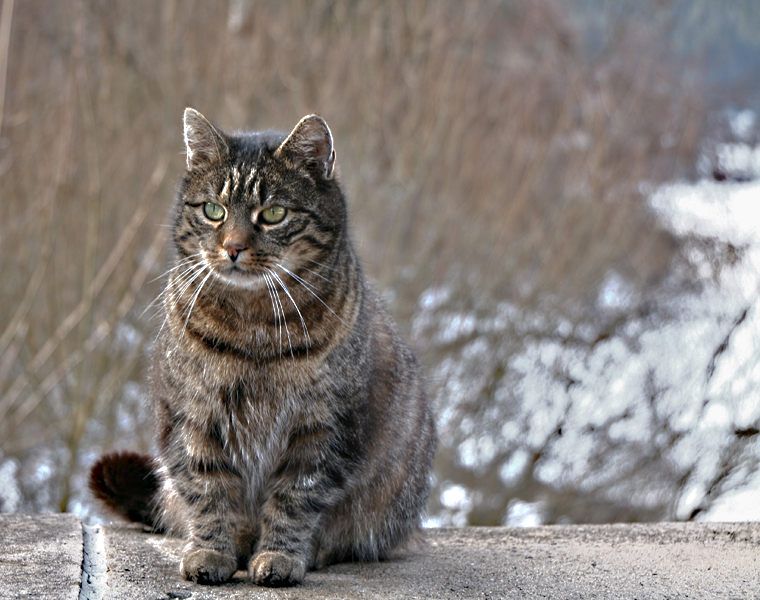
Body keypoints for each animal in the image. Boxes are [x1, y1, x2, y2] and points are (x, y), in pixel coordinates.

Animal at [90, 108, 436, 584]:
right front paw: (212, 551)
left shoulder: (322, 430)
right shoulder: (193, 418)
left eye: (272, 213)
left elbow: (294, 500)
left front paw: (280, 556)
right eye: (213, 211)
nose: (233, 247)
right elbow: (208, 492)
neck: (253, 327)